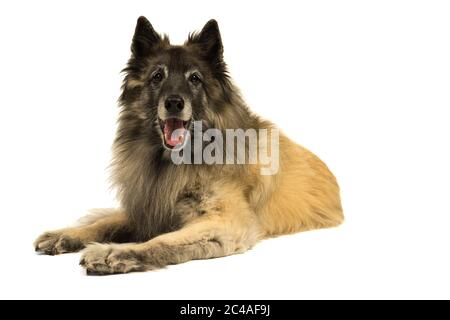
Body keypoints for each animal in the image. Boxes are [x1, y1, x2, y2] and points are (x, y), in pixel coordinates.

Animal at [34, 16, 344, 276]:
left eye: (194, 78)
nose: (174, 103)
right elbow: (105, 223)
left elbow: (163, 240)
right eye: (157, 76)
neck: (176, 161)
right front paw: (67, 235)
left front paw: (114, 253)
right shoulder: (149, 207)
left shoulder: (224, 222)